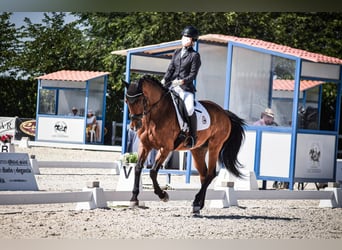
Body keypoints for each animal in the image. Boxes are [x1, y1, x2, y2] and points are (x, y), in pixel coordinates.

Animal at [123, 74, 246, 213]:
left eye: (139, 100)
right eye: (126, 101)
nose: (134, 126)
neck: (156, 115)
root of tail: (224, 112)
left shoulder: (165, 148)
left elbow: (153, 171)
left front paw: (163, 195)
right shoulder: (145, 145)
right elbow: (138, 168)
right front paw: (134, 199)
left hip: (215, 147)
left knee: (210, 174)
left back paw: (197, 202)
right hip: (198, 150)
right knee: (204, 175)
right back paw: (198, 204)